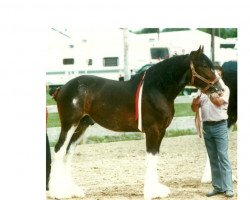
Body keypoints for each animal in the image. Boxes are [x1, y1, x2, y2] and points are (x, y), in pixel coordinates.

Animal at [47, 46, 224, 199]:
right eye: (204, 65)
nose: (220, 89)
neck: (157, 89)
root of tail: (62, 88)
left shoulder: (161, 131)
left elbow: (155, 157)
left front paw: (157, 189)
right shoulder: (152, 130)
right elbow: (151, 157)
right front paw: (151, 192)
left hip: (81, 125)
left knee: (69, 152)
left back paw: (71, 191)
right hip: (69, 124)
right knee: (59, 150)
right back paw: (58, 192)